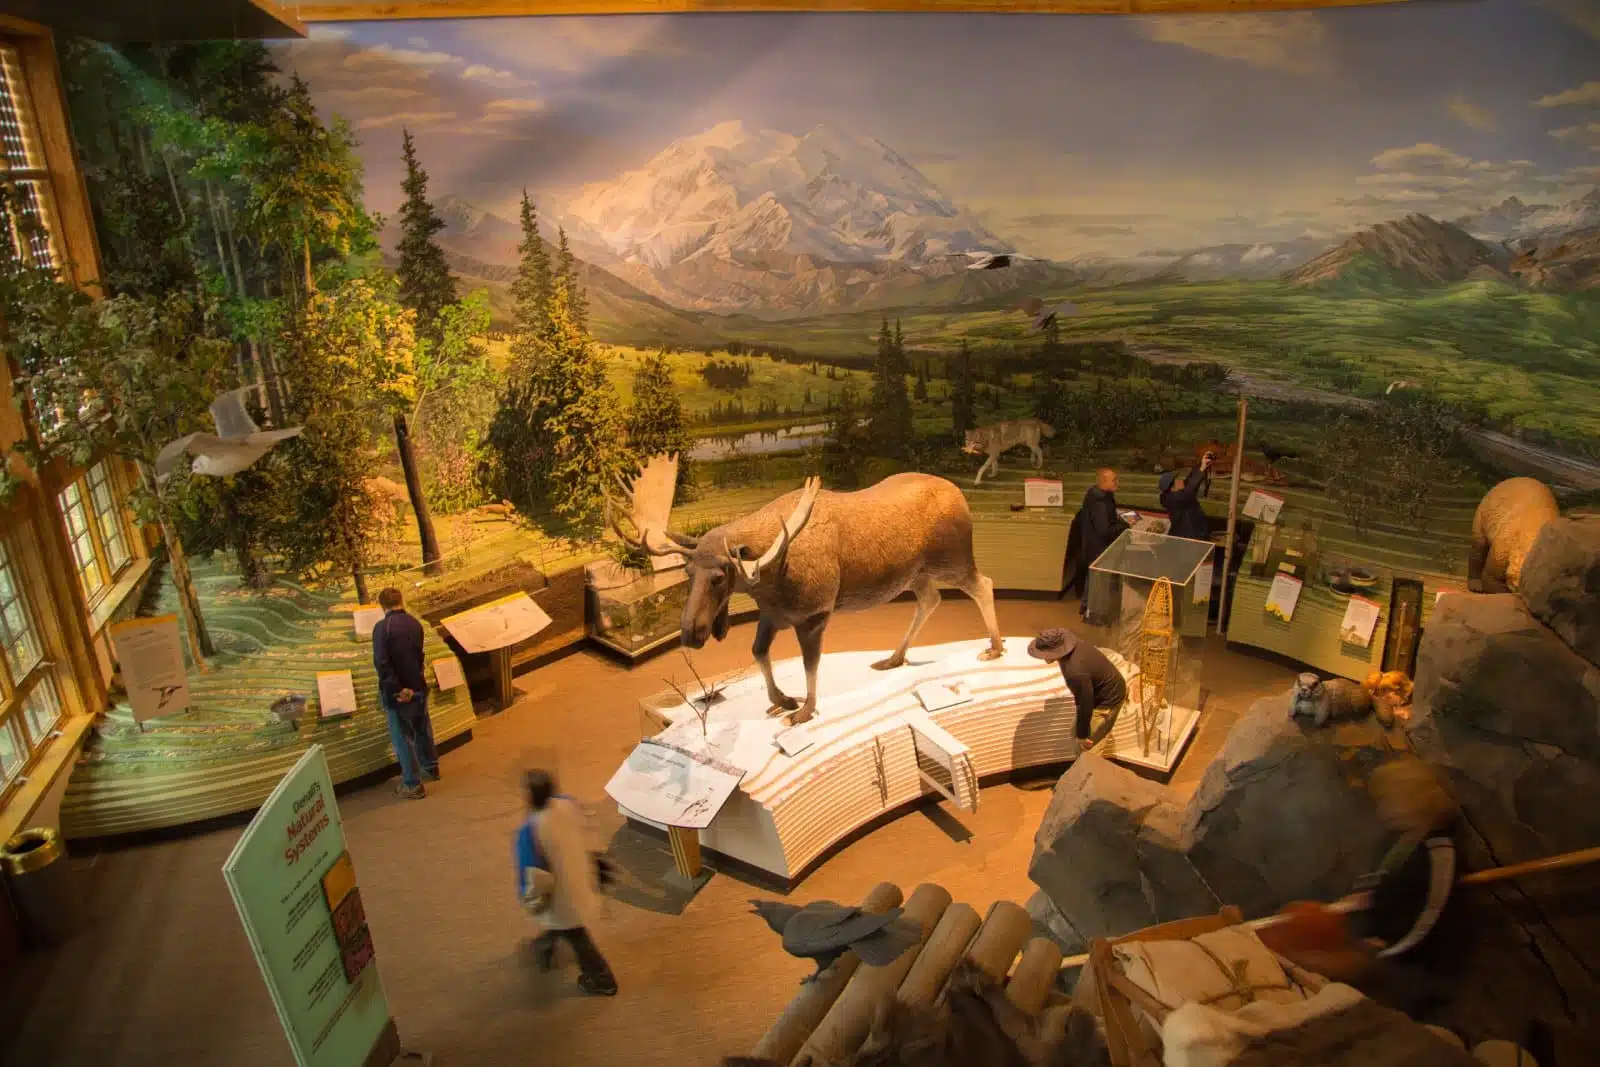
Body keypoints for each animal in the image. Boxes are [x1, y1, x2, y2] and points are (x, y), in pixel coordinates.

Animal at [604, 470, 1004, 726]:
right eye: (688, 573)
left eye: (719, 577)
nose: (690, 632)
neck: (769, 575)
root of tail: (960, 495)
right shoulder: (773, 615)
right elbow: (758, 652)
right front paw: (782, 700)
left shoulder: (814, 614)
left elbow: (810, 664)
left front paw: (805, 709)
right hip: (915, 575)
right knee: (930, 599)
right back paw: (894, 658)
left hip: (951, 560)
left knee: (983, 583)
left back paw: (995, 648)